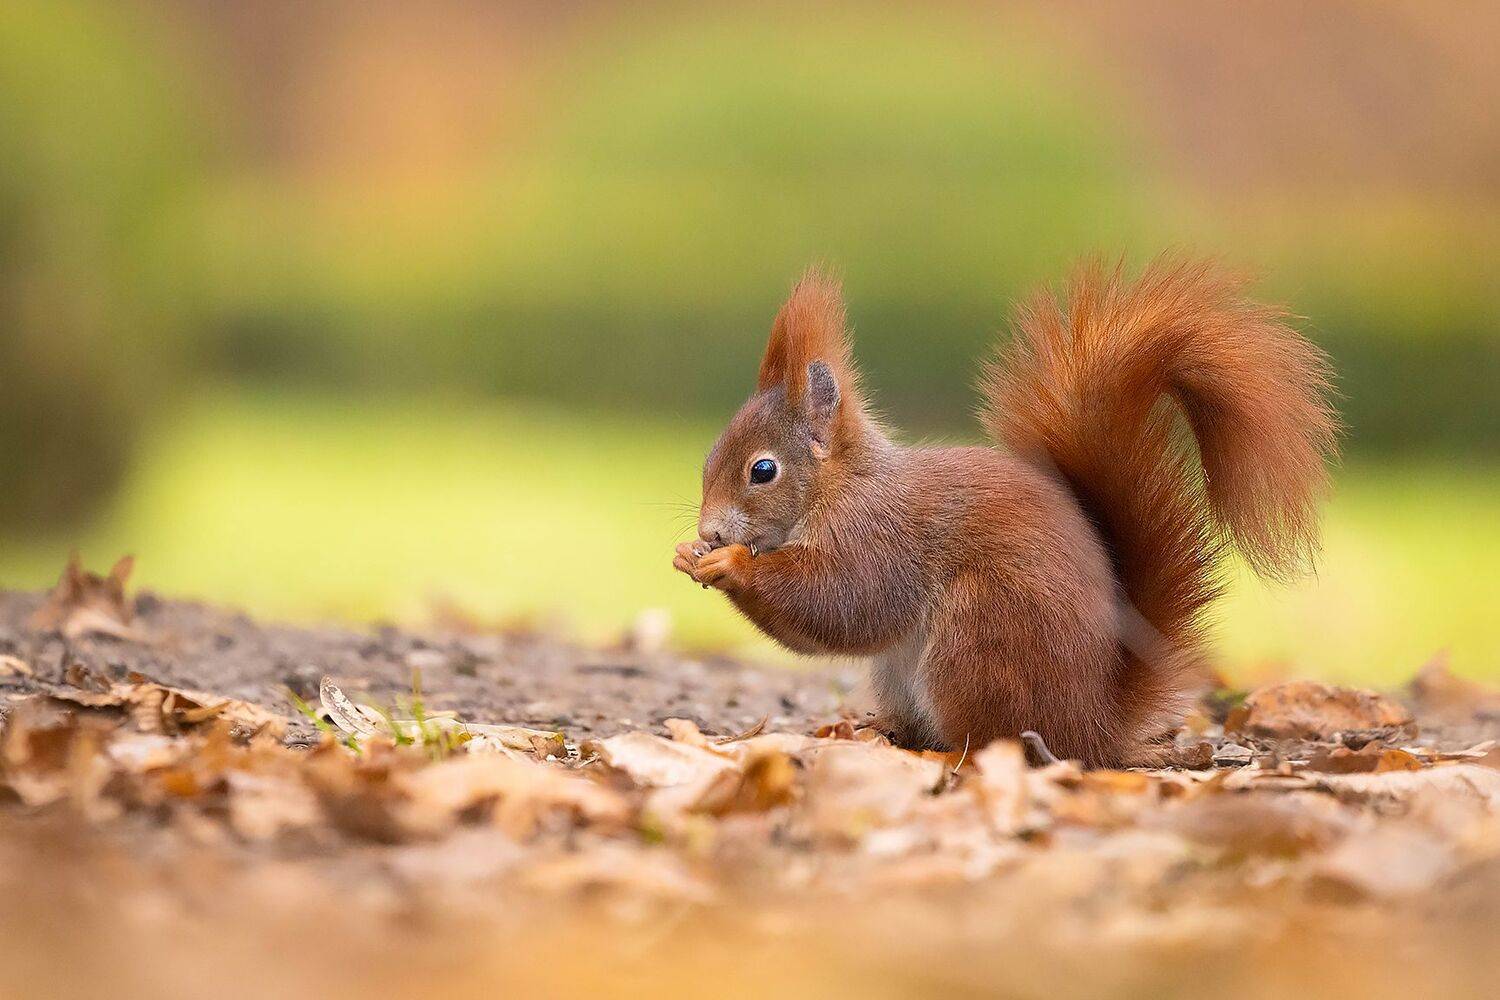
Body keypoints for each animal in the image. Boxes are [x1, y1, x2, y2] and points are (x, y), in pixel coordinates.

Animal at [673, 258, 1338, 767]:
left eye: (763, 470)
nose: (710, 530)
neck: (840, 487)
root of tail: (1095, 727)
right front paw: (689, 554)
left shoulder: (881, 537)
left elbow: (842, 602)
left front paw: (730, 564)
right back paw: (884, 731)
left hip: (981, 638)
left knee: (993, 738)